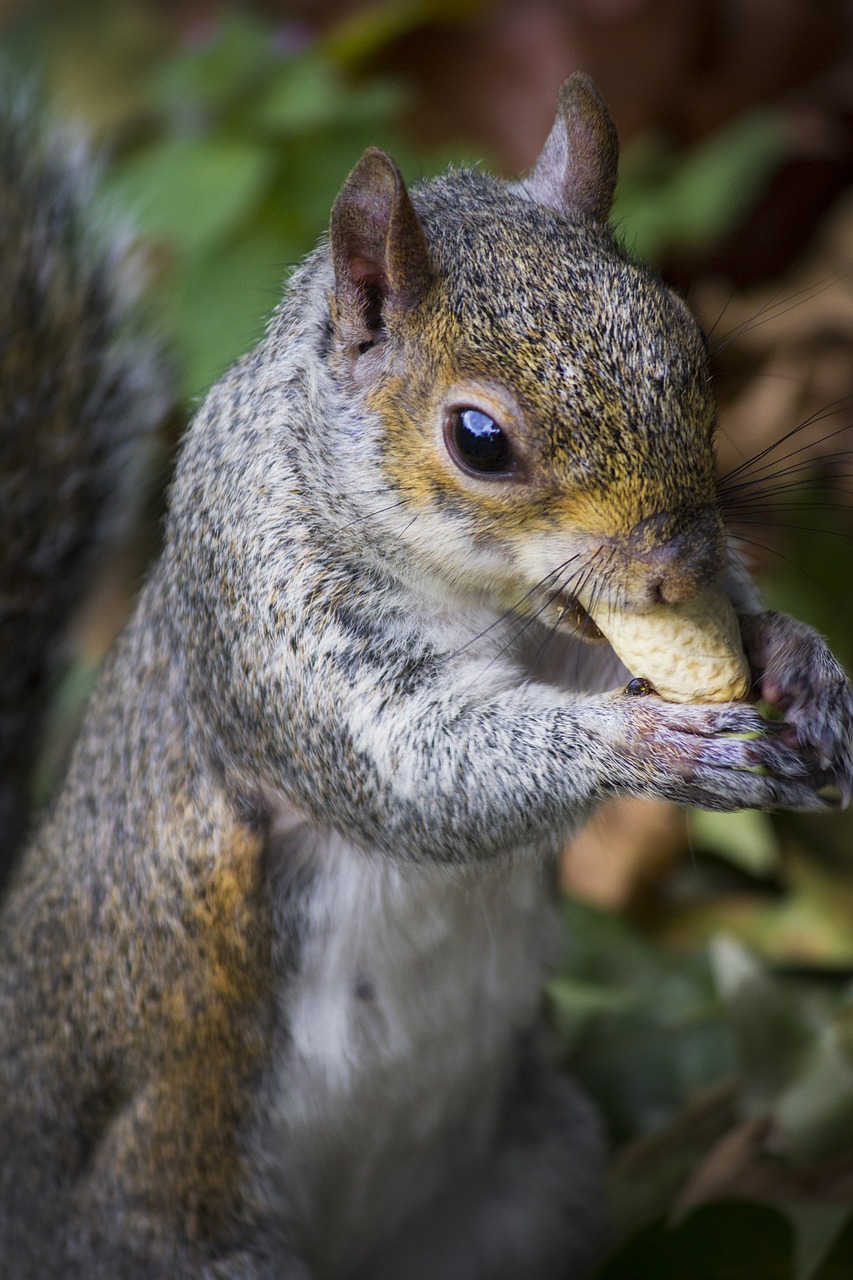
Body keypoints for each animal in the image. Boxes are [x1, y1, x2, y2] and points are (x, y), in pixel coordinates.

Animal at [1, 70, 850, 1280]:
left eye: (691, 349)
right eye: (479, 439)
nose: (681, 566)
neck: (476, 597)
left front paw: (797, 658)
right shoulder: (273, 628)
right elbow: (416, 772)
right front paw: (647, 743)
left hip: (532, 1180)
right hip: (174, 1218)